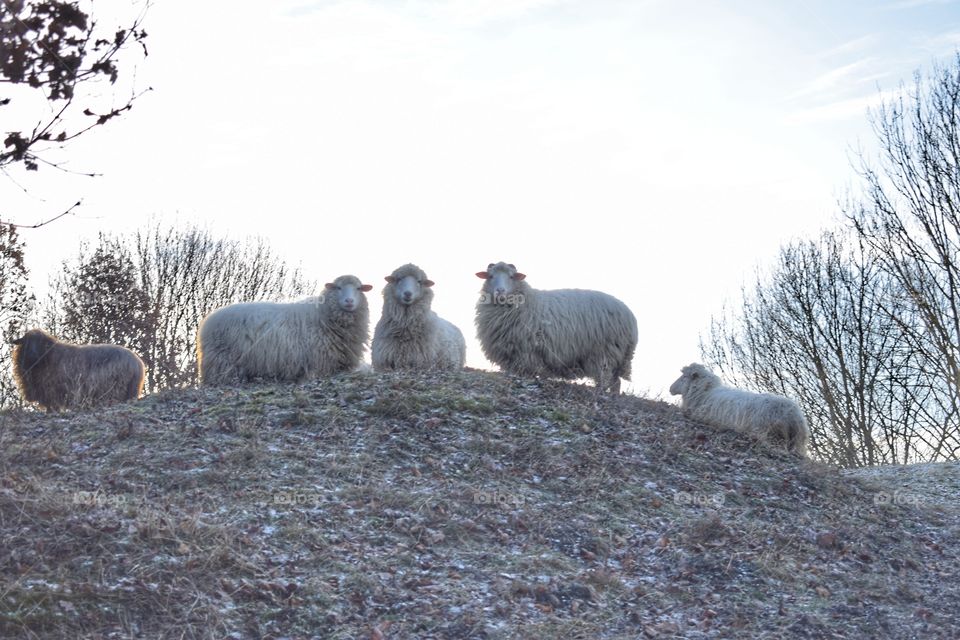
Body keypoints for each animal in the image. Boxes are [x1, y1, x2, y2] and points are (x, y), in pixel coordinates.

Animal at [11, 329, 146, 411]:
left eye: (41, 343)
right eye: (26, 342)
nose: (33, 355)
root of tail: (138, 363)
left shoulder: (52, 392)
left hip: (116, 389)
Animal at [197, 274, 373, 385]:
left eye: (359, 288)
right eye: (338, 287)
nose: (349, 301)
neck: (323, 314)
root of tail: (207, 321)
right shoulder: (320, 364)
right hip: (221, 361)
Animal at [474, 261, 638, 394]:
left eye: (511, 276)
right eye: (490, 276)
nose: (500, 291)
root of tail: (631, 318)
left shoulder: (526, 353)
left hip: (606, 352)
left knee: (606, 379)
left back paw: (600, 393)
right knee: (616, 382)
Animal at [669, 363, 809, 456]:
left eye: (684, 377)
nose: (670, 389)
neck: (705, 391)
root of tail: (793, 414)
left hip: (766, 432)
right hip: (794, 442)